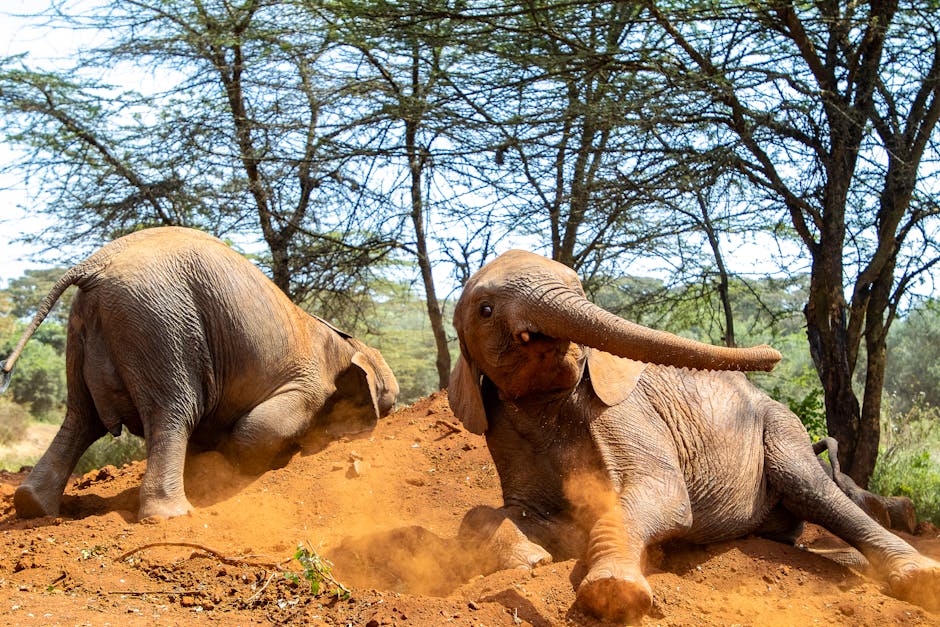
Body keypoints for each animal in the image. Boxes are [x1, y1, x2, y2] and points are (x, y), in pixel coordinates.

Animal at [1, 226, 398, 521]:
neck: (345, 342)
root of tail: (94, 263)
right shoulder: (310, 382)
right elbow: (258, 429)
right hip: (162, 322)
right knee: (174, 412)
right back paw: (172, 516)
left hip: (86, 326)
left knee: (81, 418)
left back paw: (32, 506)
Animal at [448, 249, 939, 622]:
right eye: (486, 310)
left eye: (580, 289)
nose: (775, 356)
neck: (549, 398)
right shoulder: (504, 427)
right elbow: (503, 513)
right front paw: (531, 558)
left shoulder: (626, 410)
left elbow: (659, 493)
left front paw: (613, 593)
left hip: (780, 426)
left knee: (812, 488)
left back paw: (919, 579)